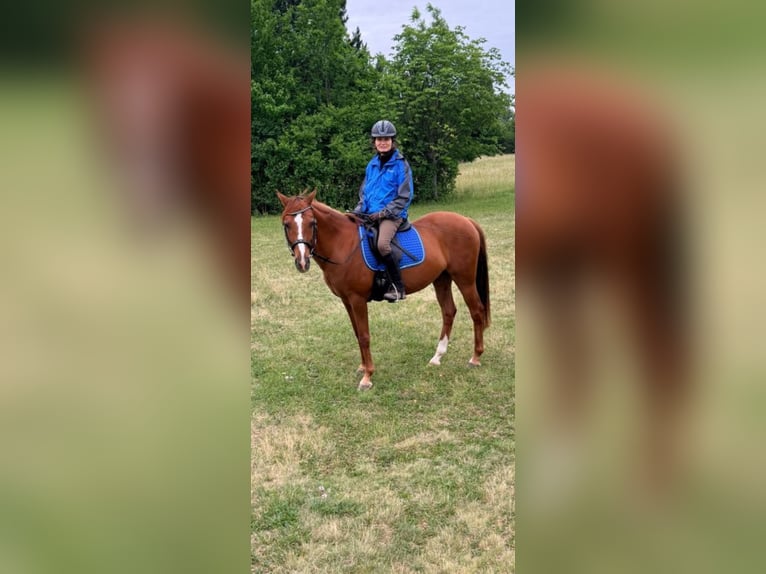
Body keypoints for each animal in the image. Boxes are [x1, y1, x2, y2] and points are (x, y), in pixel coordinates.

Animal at [277, 190, 491, 390]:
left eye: (312, 223)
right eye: (286, 224)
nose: (302, 261)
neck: (343, 244)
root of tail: (466, 220)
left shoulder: (357, 299)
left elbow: (364, 336)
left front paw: (367, 377)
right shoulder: (346, 300)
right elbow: (357, 333)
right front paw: (363, 367)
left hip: (465, 280)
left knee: (476, 311)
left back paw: (475, 357)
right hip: (442, 279)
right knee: (448, 312)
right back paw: (437, 356)